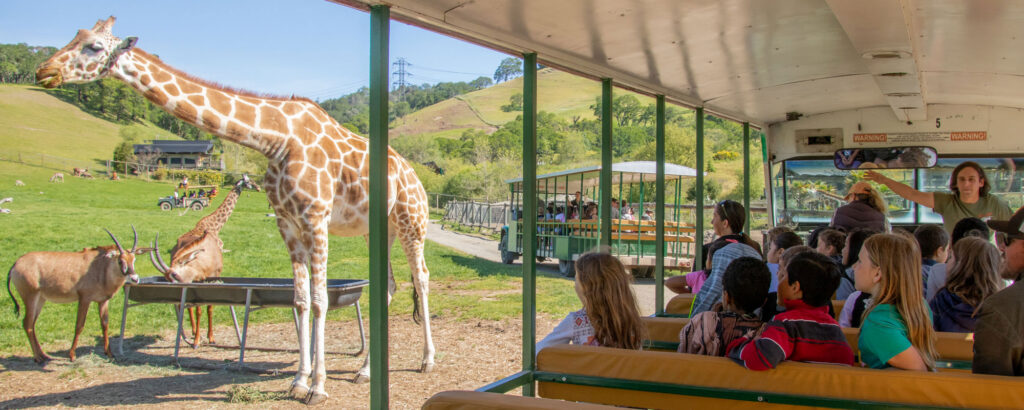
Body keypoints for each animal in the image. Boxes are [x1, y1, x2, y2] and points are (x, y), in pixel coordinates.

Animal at [6, 227, 151, 362]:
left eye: (134, 259)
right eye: (120, 261)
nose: (135, 279)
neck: (101, 267)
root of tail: (16, 264)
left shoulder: (103, 301)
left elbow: (105, 324)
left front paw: (109, 353)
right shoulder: (84, 298)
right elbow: (79, 325)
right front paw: (72, 355)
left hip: (40, 299)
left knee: (32, 324)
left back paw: (43, 355)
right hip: (30, 296)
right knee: (27, 323)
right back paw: (37, 358)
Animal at [150, 176, 259, 349]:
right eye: (249, 181)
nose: (259, 187)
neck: (215, 226)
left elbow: (209, 306)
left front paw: (209, 337)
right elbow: (200, 308)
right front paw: (198, 339)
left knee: (189, 306)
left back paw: (195, 331)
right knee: (189, 306)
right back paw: (195, 333)